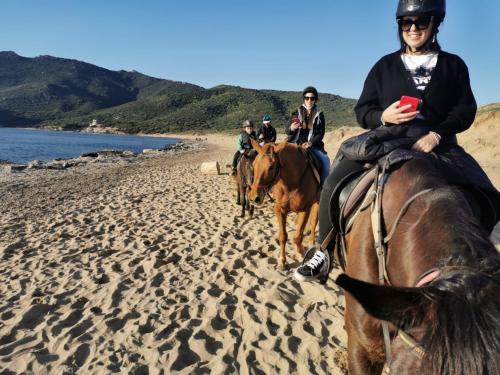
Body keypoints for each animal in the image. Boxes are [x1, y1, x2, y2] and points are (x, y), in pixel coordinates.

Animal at [250, 140, 320, 268]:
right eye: (253, 164)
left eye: (271, 167)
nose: (254, 197)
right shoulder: (280, 209)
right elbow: (283, 236)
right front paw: (282, 260)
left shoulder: (305, 209)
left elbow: (297, 237)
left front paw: (301, 252)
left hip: (316, 203)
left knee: (313, 223)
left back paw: (312, 242)